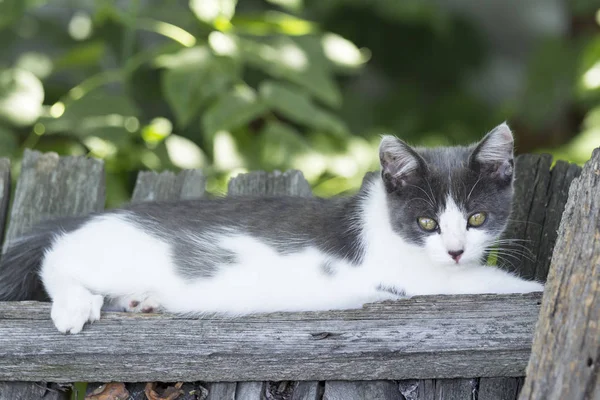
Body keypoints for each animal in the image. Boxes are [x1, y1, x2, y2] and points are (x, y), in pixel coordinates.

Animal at [0, 122, 544, 334]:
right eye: (426, 221)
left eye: (476, 218)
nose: (454, 250)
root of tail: (95, 216)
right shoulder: (412, 276)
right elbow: (480, 283)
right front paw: (534, 288)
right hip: (101, 253)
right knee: (56, 257)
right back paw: (75, 304)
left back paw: (140, 301)